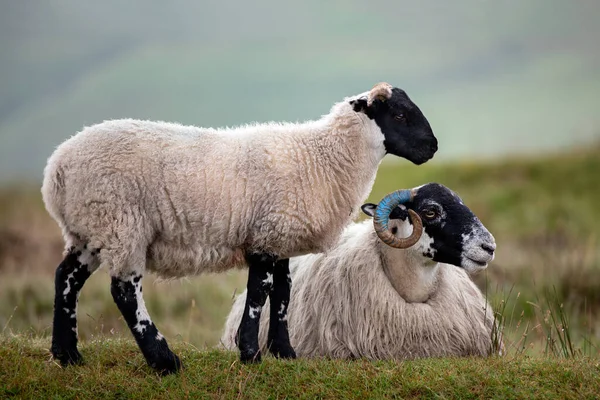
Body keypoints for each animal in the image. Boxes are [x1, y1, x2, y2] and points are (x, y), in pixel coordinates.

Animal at [41, 83, 436, 374]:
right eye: (399, 114)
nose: (433, 147)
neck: (322, 157)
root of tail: (56, 170)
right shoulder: (264, 235)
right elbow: (260, 292)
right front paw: (250, 353)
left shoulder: (279, 234)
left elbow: (283, 293)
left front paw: (284, 352)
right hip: (121, 224)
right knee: (124, 291)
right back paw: (164, 361)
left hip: (89, 231)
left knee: (66, 278)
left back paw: (67, 355)